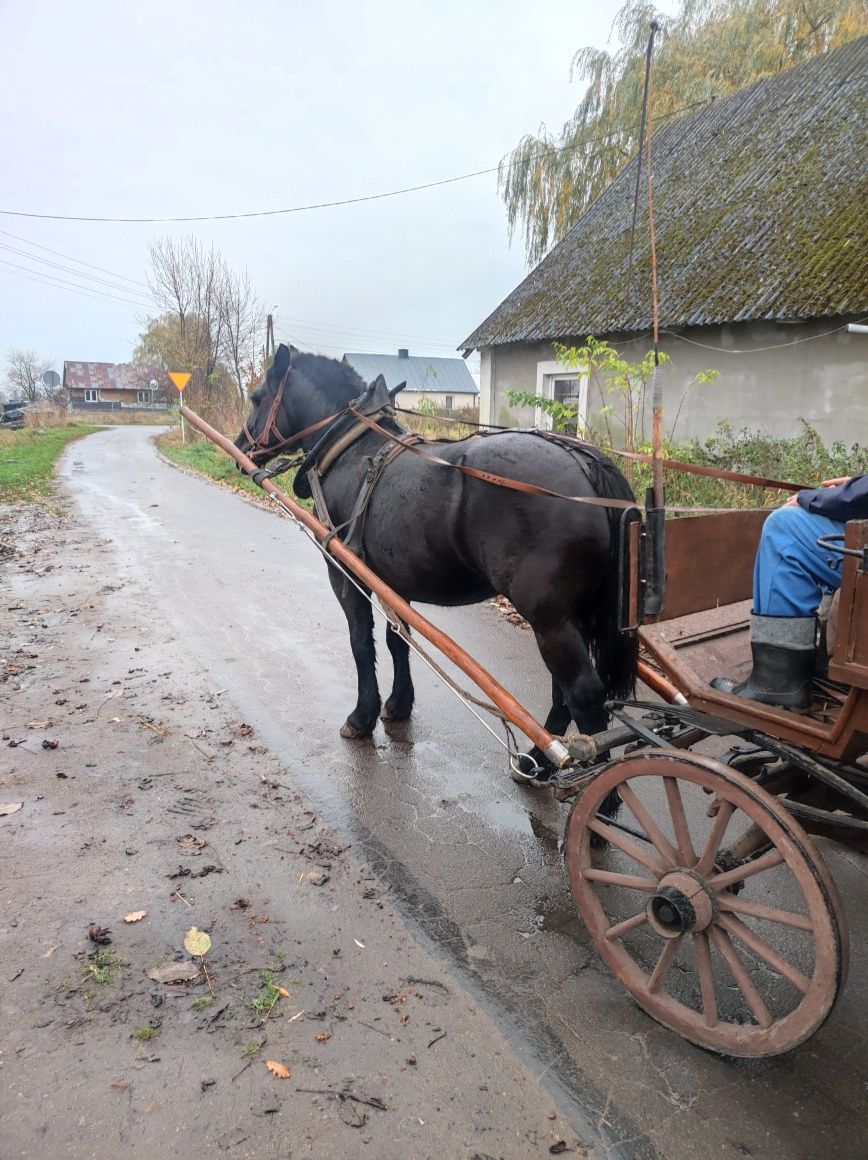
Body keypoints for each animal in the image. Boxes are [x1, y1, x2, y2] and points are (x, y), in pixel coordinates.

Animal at [237, 343, 635, 770]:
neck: (352, 450)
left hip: (551, 620)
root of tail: (585, 464)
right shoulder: (393, 581)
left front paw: (361, 717)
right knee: (564, 693)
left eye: (257, 398)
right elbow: (398, 639)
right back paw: (539, 761)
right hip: (572, 617)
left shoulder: (346, 572)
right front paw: (398, 705)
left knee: (584, 695)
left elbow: (361, 642)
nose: (241, 447)